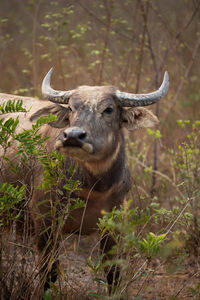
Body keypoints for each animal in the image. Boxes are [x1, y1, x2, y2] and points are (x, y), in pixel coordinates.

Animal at [0, 69, 169, 294]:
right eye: (71, 108)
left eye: (108, 109)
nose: (72, 136)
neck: (95, 188)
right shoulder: (45, 221)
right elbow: (49, 272)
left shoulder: (114, 224)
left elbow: (113, 273)